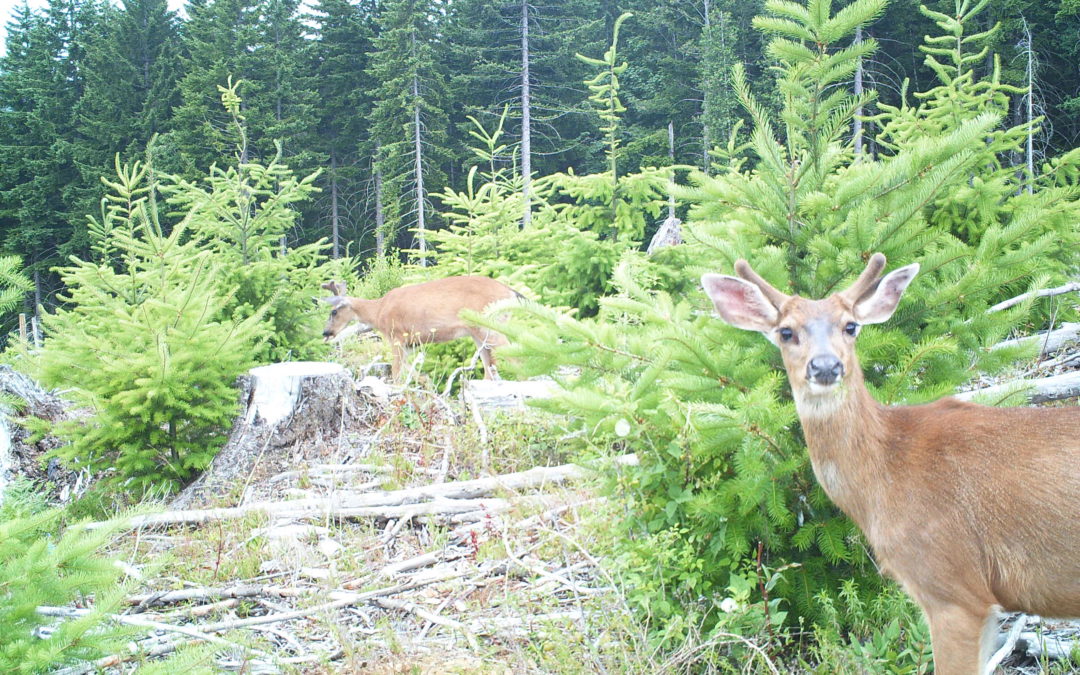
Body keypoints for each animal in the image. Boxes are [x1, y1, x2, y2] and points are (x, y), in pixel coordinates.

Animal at [319, 274, 522, 380]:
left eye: (334, 312)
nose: (325, 332)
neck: (378, 311)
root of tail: (511, 292)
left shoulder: (397, 336)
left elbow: (396, 373)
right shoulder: (411, 344)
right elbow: (413, 372)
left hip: (490, 325)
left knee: (515, 358)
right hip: (478, 334)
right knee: (490, 369)